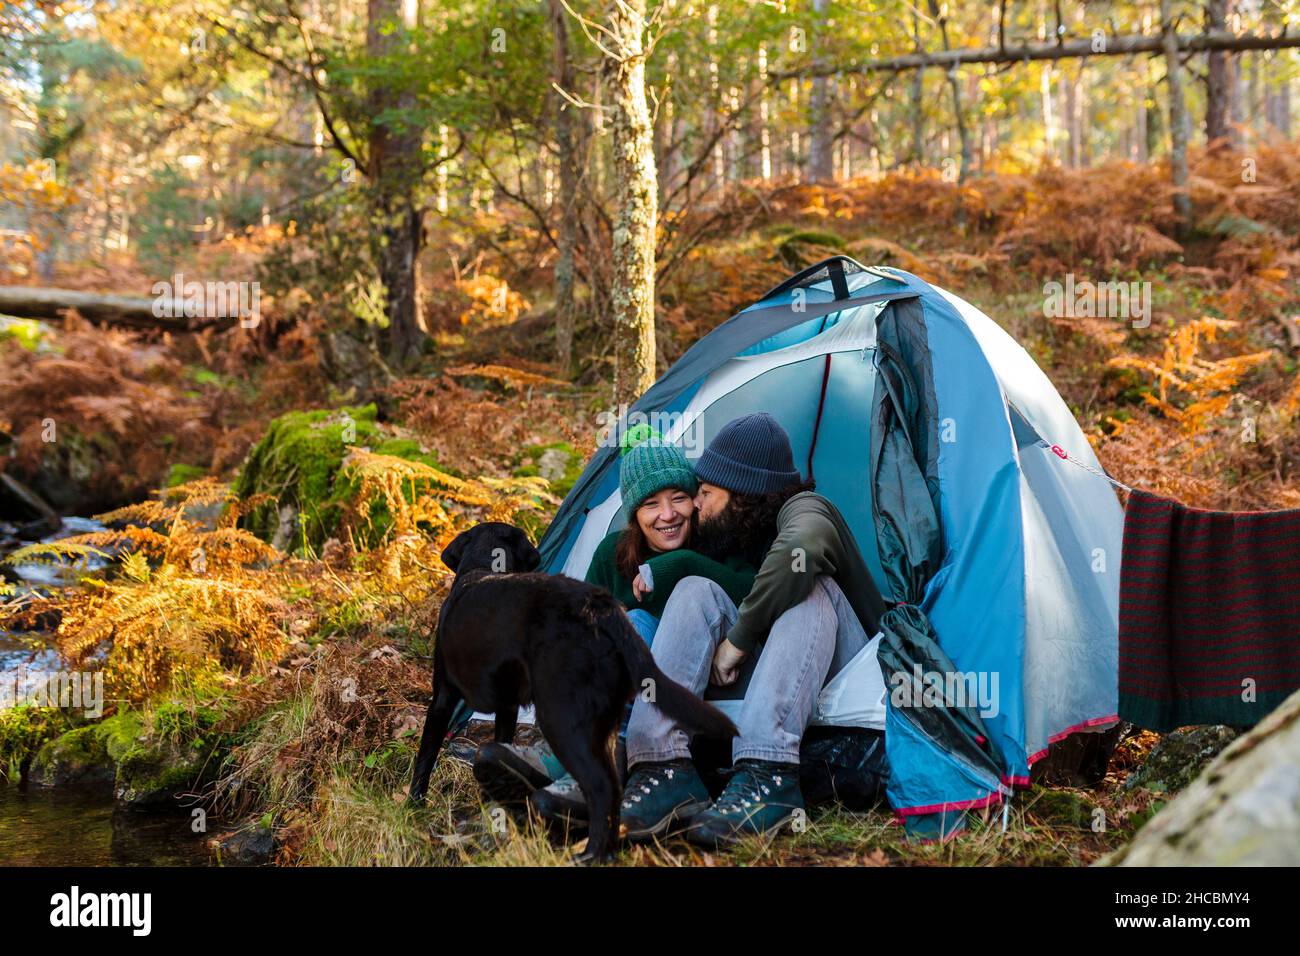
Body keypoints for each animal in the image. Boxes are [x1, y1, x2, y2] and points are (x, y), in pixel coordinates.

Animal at [408, 522, 733, 858]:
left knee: (601, 787)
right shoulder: (507, 709)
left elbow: (425, 757)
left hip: (560, 716)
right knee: (613, 786)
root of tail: (599, 608)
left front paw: (413, 807)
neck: (483, 567)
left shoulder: (442, 699)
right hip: (603, 723)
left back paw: (590, 855)